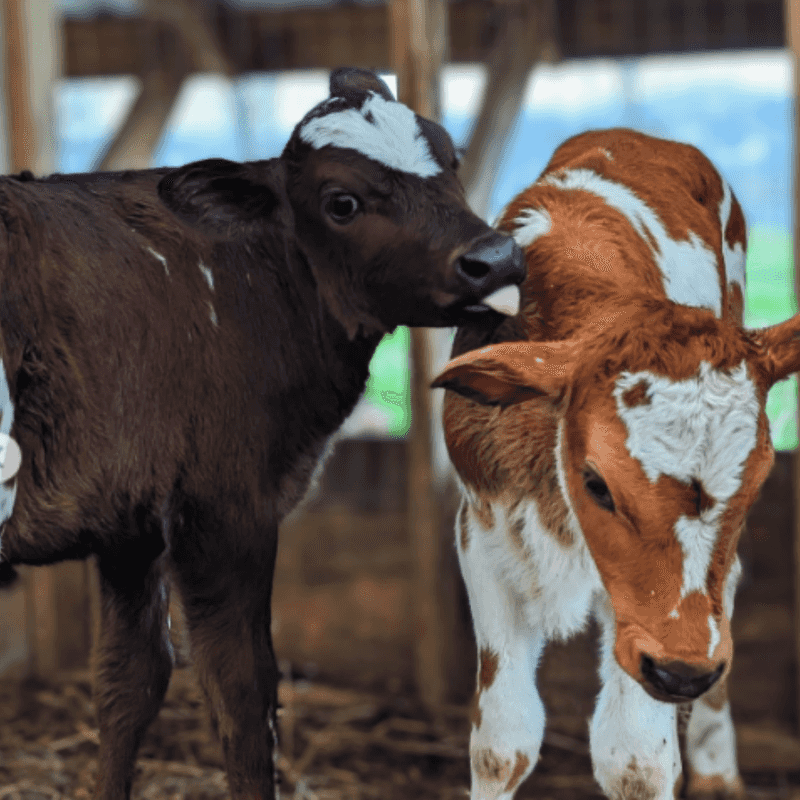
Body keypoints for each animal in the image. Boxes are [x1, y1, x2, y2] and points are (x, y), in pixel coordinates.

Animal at [0, 68, 526, 800]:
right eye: (341, 202)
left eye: (452, 158)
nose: (495, 258)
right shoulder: (226, 506)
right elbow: (243, 690)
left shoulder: (130, 522)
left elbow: (129, 682)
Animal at [433, 128, 799, 800]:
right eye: (596, 484)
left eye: (760, 483)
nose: (685, 672)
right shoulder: (482, 532)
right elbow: (501, 742)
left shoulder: (644, 620)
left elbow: (635, 759)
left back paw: (716, 765)